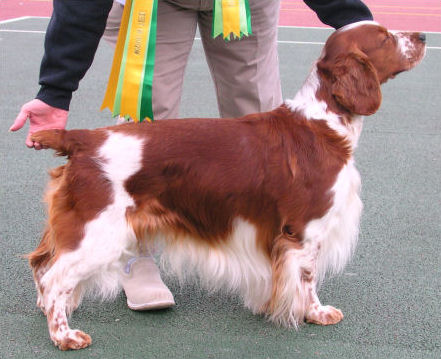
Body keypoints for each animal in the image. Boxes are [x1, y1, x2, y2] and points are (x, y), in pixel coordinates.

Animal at [26, 21, 422, 350]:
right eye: (384, 37)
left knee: (42, 264)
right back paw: (65, 335)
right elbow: (308, 277)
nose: (421, 36)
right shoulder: (305, 231)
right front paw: (316, 313)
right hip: (97, 232)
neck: (322, 123)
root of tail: (83, 139)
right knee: (55, 277)